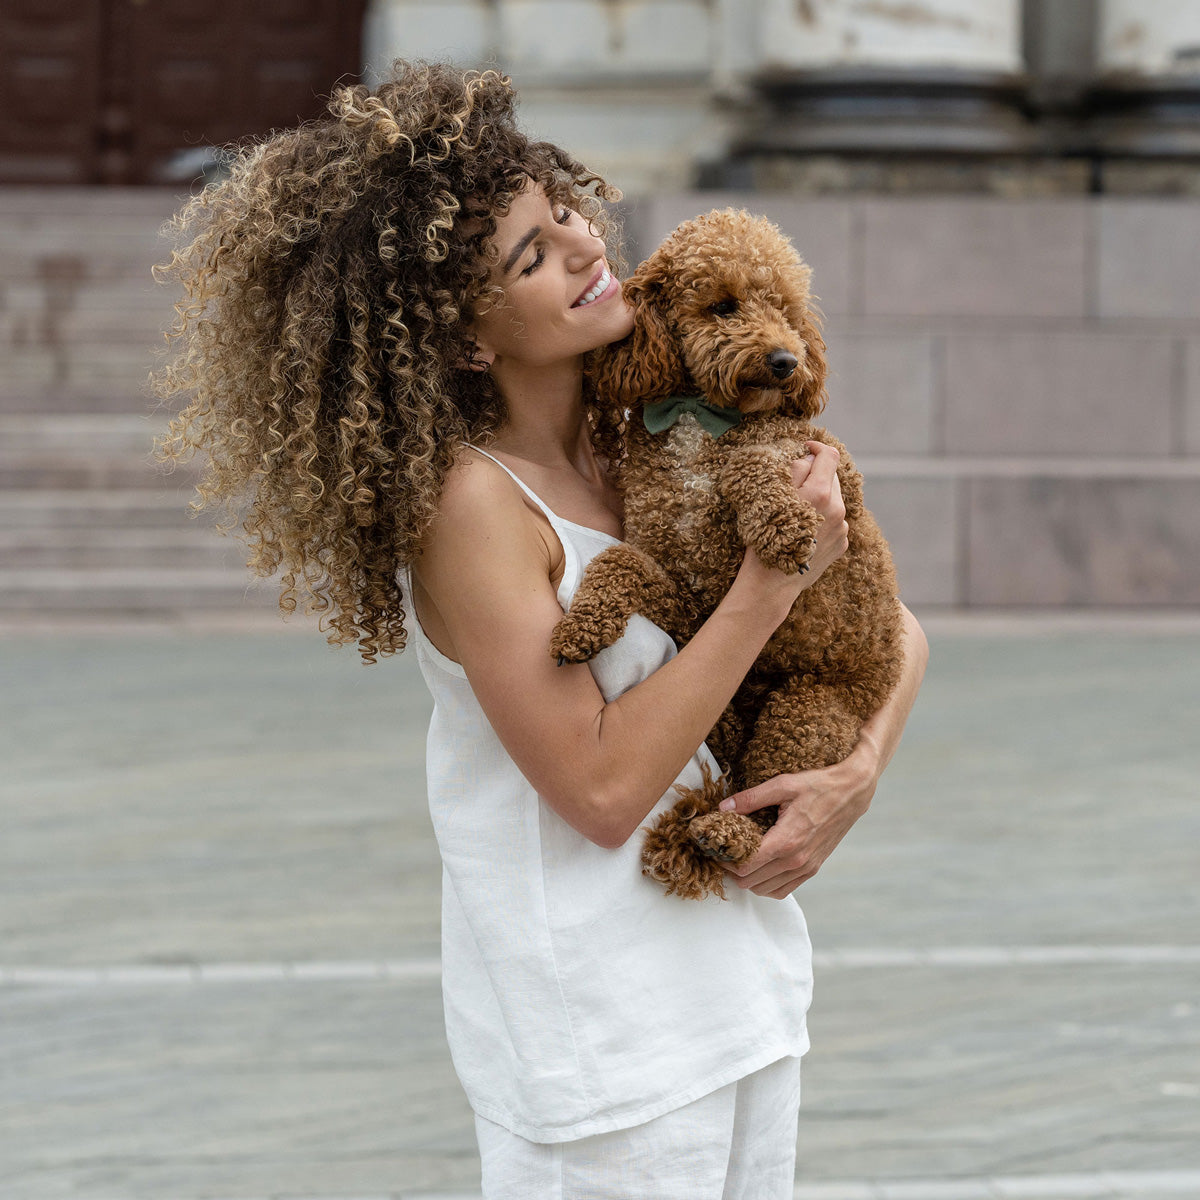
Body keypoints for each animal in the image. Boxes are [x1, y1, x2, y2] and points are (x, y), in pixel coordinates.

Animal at [549, 208, 902, 902]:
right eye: (723, 305)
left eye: (785, 307)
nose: (786, 361)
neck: (699, 417)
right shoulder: (689, 592)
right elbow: (620, 563)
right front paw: (581, 626)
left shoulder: (833, 469)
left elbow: (754, 460)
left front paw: (782, 526)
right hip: (734, 704)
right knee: (736, 770)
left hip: (809, 707)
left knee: (768, 802)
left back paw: (727, 834)